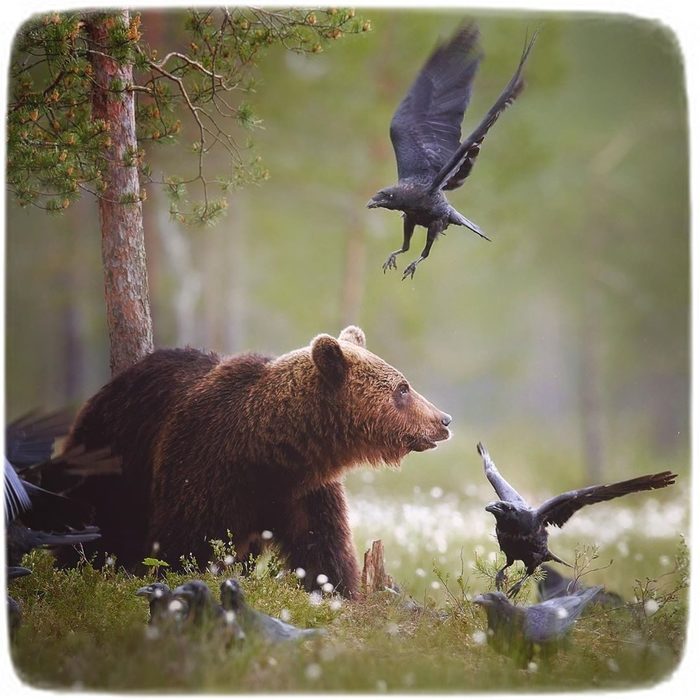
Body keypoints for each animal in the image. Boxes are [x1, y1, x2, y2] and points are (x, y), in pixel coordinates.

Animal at [62, 326, 452, 596]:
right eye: (403, 388)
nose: (443, 420)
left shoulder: (304, 492)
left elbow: (323, 550)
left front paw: (337, 590)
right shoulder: (201, 468)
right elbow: (183, 547)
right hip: (113, 459)